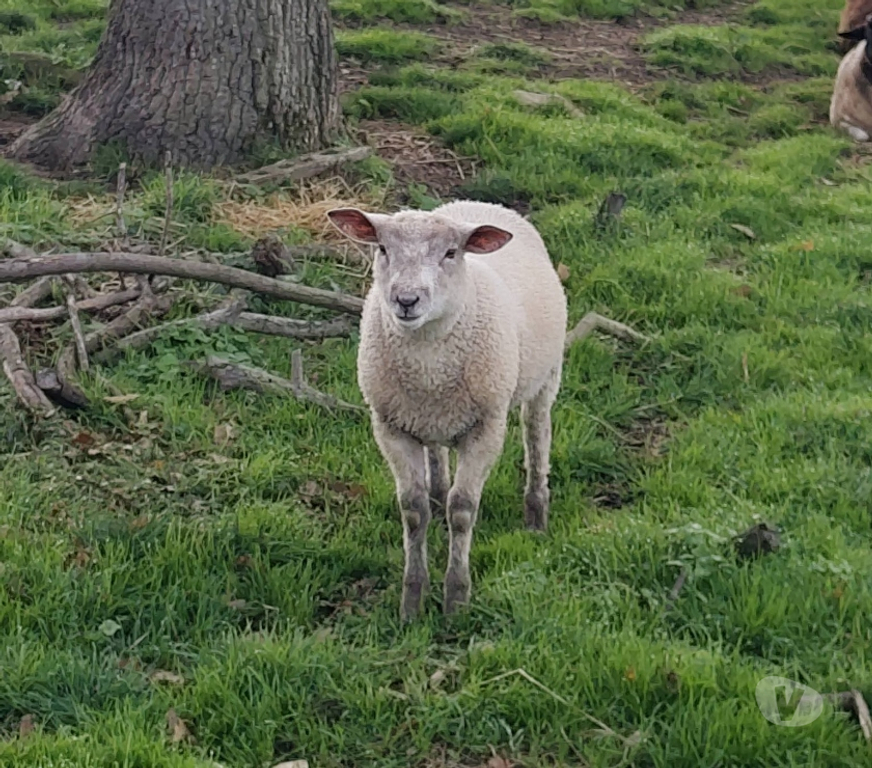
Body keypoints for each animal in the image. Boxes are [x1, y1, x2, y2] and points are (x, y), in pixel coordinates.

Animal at [327, 200, 567, 620]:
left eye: (451, 253)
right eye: (383, 249)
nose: (406, 301)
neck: (428, 361)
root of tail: (479, 204)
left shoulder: (487, 427)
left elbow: (463, 509)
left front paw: (456, 597)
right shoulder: (390, 426)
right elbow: (412, 509)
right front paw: (412, 600)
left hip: (546, 375)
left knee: (536, 434)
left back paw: (536, 516)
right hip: (428, 416)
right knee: (437, 454)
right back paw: (438, 497)